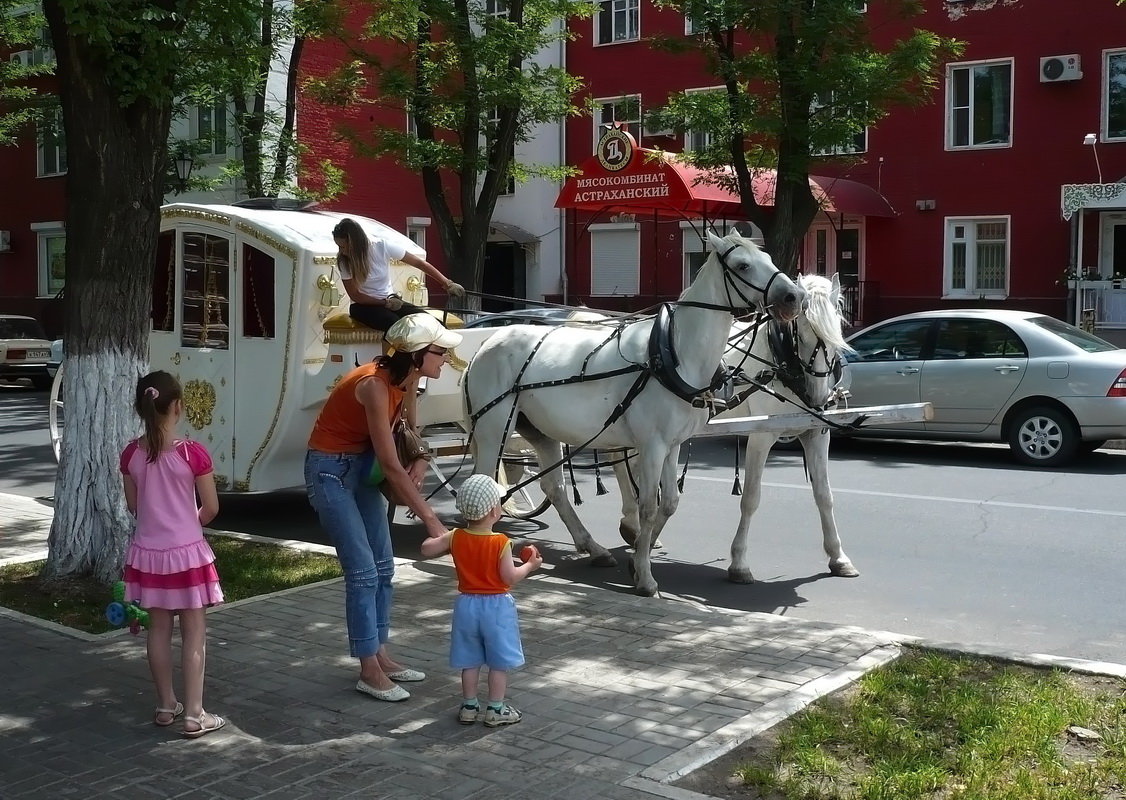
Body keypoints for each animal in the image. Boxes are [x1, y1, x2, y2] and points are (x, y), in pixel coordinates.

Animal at [461, 229, 806, 594]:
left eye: (767, 259)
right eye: (742, 265)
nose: (795, 297)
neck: (674, 353)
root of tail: (485, 343)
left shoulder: (672, 445)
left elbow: (669, 502)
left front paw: (638, 555)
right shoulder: (653, 445)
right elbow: (648, 507)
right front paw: (645, 575)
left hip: (541, 432)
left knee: (555, 489)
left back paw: (593, 548)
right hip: (493, 428)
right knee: (484, 482)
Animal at [617, 273, 851, 581]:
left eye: (835, 334)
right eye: (799, 333)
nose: (819, 397)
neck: (780, 360)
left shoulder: (816, 433)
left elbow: (824, 495)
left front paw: (838, 556)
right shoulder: (762, 437)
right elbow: (751, 498)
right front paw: (739, 562)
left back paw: (634, 529)